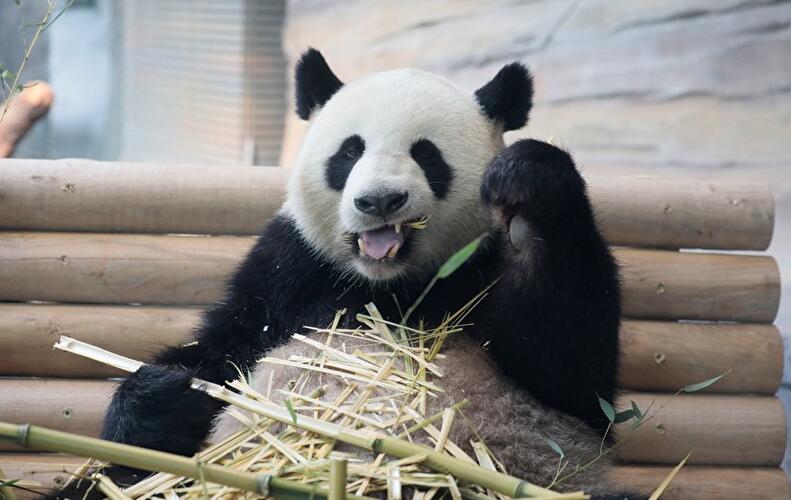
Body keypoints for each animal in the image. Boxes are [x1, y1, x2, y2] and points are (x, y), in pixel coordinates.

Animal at [61, 49, 630, 498]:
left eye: (426, 155)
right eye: (350, 151)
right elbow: (223, 350)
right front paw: (164, 395)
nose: (380, 200)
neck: (386, 283)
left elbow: (573, 378)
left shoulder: (482, 270)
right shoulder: (290, 269)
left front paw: (529, 194)